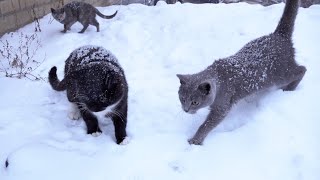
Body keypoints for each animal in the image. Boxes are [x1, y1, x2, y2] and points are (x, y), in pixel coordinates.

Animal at [176, 0, 306, 145]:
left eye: (195, 102)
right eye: (182, 99)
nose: (186, 110)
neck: (218, 78)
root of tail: (279, 35)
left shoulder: (222, 106)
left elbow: (207, 124)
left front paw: (195, 140)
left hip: (280, 74)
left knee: (302, 69)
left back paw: (289, 89)